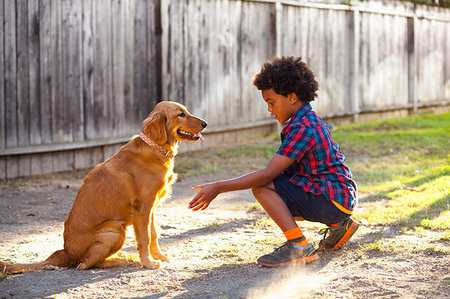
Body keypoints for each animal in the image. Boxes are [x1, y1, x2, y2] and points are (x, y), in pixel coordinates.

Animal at [1, 102, 207, 274]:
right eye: (181, 114)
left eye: (186, 111)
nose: (205, 123)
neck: (155, 148)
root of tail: (65, 252)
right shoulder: (143, 208)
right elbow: (145, 238)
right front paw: (148, 263)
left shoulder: (151, 208)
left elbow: (154, 235)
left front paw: (159, 256)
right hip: (114, 231)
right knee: (85, 264)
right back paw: (122, 260)